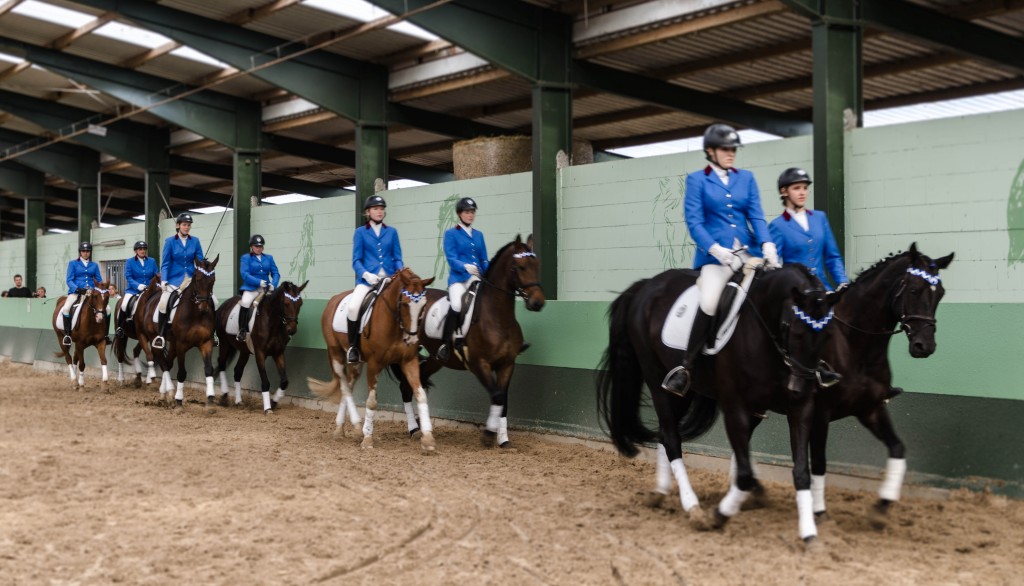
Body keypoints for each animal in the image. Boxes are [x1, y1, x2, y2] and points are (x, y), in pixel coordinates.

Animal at [134, 256, 220, 411]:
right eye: (197, 279)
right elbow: (181, 373)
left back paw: (165, 394)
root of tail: (152, 298)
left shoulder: (206, 343)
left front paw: (210, 400)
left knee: (167, 364)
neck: (195, 313)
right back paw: (169, 393)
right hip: (156, 340)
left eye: (212, 280)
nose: (203, 307)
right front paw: (179, 401)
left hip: (173, 343)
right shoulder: (181, 344)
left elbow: (209, 370)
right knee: (163, 364)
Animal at [214, 278, 309, 411]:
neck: (272, 323)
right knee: (222, 365)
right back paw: (224, 397)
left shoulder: (278, 353)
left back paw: (238, 401)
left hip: (244, 350)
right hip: (224, 343)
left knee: (237, 371)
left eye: (300, 303)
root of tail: (224, 306)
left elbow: (284, 381)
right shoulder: (260, 353)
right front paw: (268, 408)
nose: (292, 330)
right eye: (286, 303)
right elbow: (265, 382)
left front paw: (274, 402)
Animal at [303, 268, 432, 450]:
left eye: (423, 305)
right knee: (344, 387)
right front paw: (368, 438)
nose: (412, 339)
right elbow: (371, 402)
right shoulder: (374, 364)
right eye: (405, 303)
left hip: (356, 363)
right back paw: (356, 426)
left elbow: (420, 395)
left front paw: (427, 438)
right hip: (336, 354)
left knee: (348, 386)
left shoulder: (408, 361)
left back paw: (341, 429)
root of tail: (333, 300)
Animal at [387, 235, 544, 446]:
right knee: (405, 387)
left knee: (416, 382)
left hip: (437, 360)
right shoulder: (479, 364)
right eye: (520, 267)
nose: (538, 303)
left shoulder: (507, 364)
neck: (497, 317)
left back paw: (421, 426)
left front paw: (503, 440)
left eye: (536, 265)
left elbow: (503, 400)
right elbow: (496, 396)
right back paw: (414, 429)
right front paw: (488, 434)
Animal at [598, 262, 843, 549]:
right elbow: (744, 472)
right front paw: (720, 514)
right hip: (656, 378)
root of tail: (647, 284)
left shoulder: (799, 408)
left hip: (684, 393)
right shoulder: (735, 407)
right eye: (794, 331)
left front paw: (808, 533)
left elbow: (800, 470)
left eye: (827, 335)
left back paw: (661, 491)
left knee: (665, 434)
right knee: (671, 439)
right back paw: (692, 507)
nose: (800, 386)